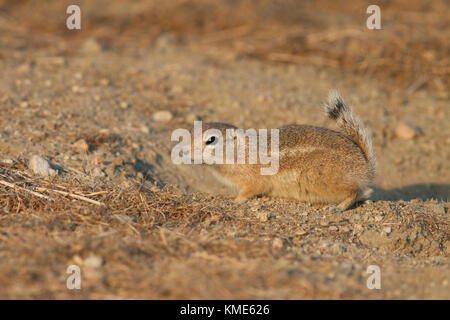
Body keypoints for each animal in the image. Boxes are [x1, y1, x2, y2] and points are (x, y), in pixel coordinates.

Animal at [185, 90, 374, 210]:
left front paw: (235, 201)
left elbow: (248, 192)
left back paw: (338, 207)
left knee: (359, 191)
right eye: (192, 131)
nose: (186, 153)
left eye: (211, 140)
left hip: (323, 180)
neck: (240, 153)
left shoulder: (254, 180)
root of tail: (365, 167)